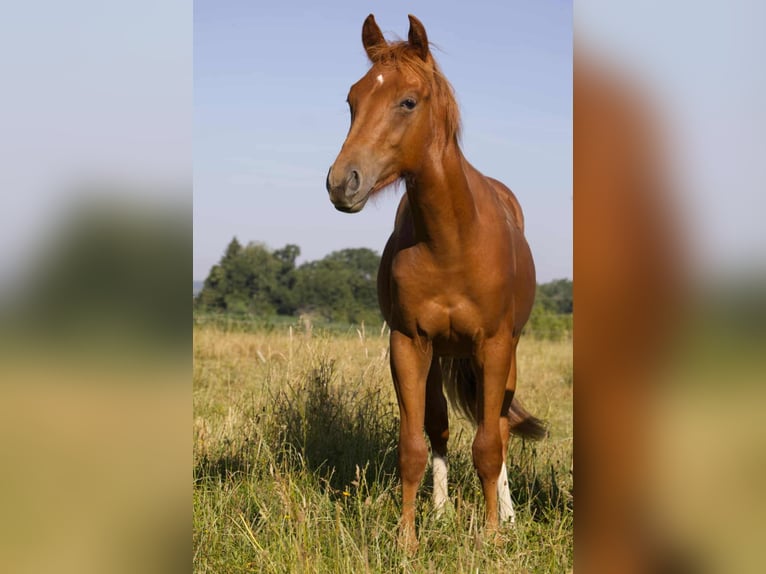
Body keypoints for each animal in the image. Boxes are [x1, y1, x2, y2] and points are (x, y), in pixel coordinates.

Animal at [326, 14, 545, 549]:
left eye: (408, 101)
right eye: (352, 100)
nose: (343, 182)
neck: (451, 240)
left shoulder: (493, 346)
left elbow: (488, 445)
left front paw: (491, 535)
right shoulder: (408, 344)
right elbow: (413, 445)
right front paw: (407, 540)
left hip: (506, 356)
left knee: (500, 425)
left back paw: (508, 513)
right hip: (439, 356)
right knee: (440, 427)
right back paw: (442, 512)